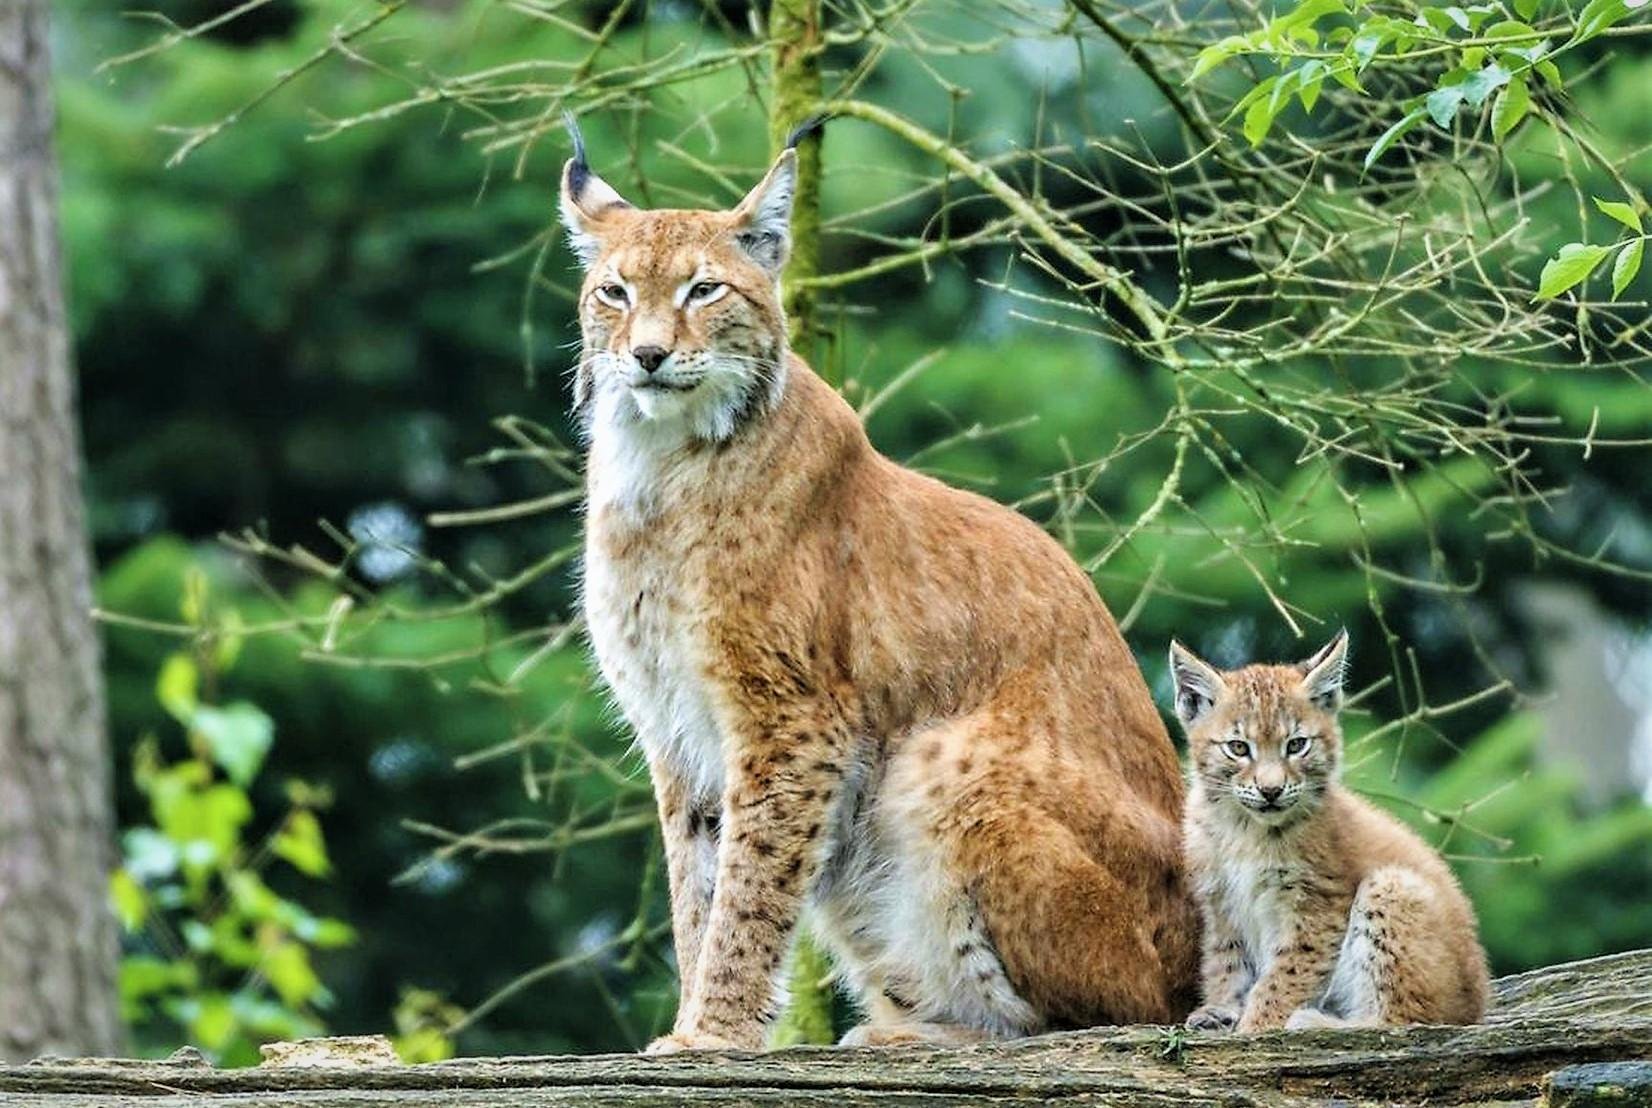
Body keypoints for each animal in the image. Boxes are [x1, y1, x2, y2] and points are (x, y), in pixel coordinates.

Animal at [1169, 637, 1493, 1036]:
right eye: (1239, 748)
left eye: (1296, 745)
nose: (1271, 791)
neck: (1242, 826)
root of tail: (1479, 1004)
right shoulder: (1221, 901)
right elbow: (1226, 962)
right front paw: (1222, 1007)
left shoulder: (1317, 908)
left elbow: (1283, 978)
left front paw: (1255, 1026)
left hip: (1391, 884)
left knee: (1407, 1019)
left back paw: (1318, 1021)